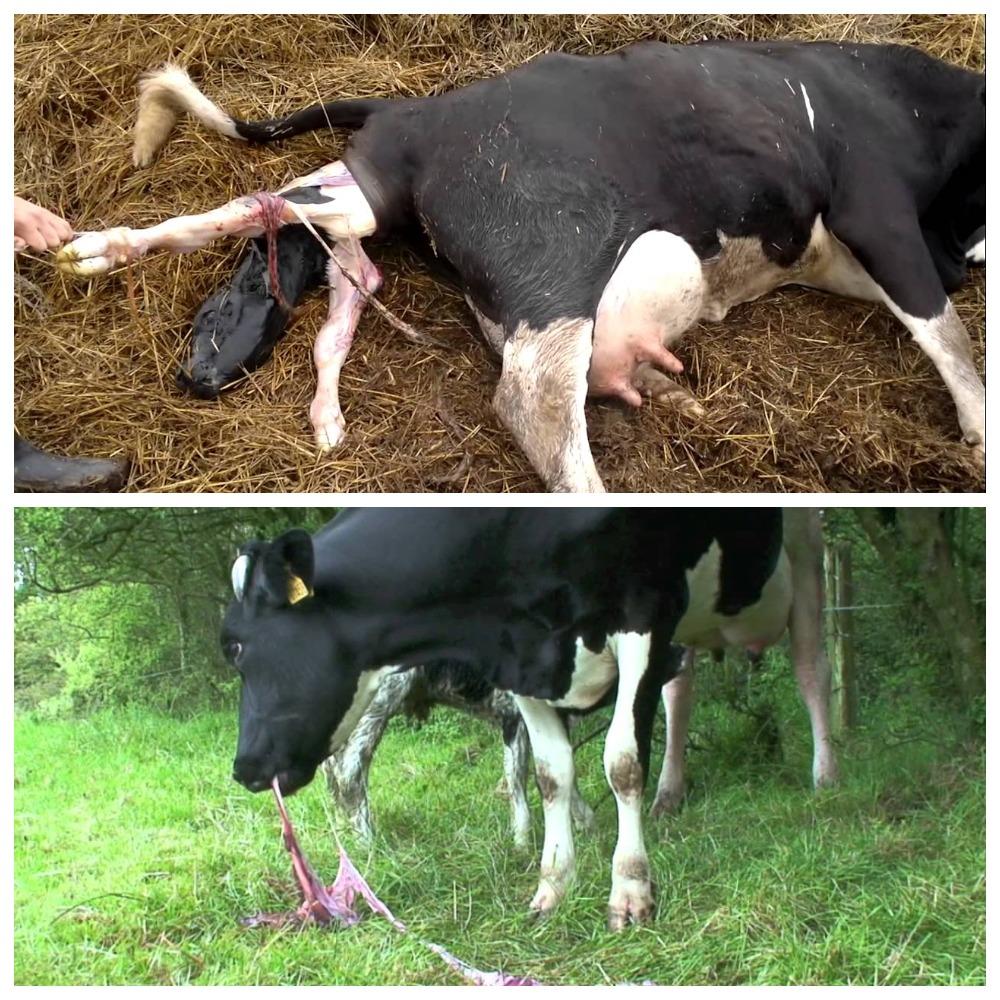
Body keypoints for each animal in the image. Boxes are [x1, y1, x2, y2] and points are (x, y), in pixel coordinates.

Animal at [55, 41, 985, 491]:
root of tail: (418, 111)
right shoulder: (875, 208)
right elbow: (949, 333)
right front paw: (979, 437)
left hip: (377, 201)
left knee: (309, 240)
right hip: (550, 247)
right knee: (532, 401)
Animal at [222, 507, 807, 929]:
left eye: (234, 647)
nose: (244, 768)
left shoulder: (645, 614)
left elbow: (616, 763)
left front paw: (626, 888)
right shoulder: (522, 669)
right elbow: (548, 774)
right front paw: (551, 879)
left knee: (810, 665)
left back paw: (821, 778)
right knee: (347, 772)